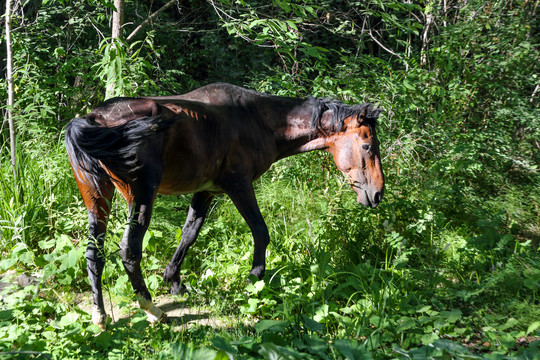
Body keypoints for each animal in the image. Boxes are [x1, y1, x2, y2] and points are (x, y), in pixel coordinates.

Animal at [64, 83, 384, 330]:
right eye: (368, 146)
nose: (378, 193)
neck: (256, 119)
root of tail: (93, 119)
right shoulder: (238, 185)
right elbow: (260, 231)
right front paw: (255, 278)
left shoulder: (206, 192)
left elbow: (188, 235)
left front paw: (174, 280)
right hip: (140, 197)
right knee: (129, 251)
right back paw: (152, 311)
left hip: (98, 199)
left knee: (94, 254)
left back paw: (100, 317)